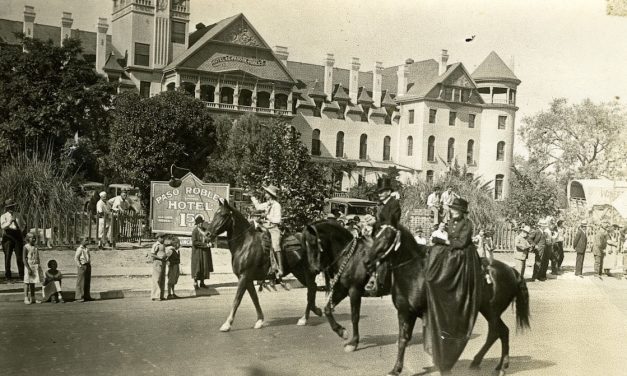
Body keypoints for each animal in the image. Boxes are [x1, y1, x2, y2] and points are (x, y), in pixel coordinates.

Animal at [206, 200, 324, 332]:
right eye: (215, 213)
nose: (207, 234)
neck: (245, 244)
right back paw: (311, 314)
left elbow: (237, 300)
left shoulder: (243, 277)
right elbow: (254, 298)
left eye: (223, 215)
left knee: (311, 289)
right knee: (312, 288)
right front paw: (259, 320)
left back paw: (306, 316)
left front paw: (227, 324)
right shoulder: (247, 279)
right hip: (299, 272)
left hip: (306, 272)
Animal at [302, 220, 376, 352]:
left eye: (313, 243)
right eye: (305, 245)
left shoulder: (354, 291)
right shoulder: (342, 290)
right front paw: (341, 331)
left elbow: (354, 316)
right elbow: (327, 310)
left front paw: (353, 343)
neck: (352, 258)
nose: (312, 269)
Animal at [364, 225, 528, 374]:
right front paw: (396, 368)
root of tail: (512, 271)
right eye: (375, 234)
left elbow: (409, 340)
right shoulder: (406, 312)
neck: (414, 273)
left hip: (492, 310)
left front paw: (398, 368)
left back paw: (500, 366)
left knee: (499, 331)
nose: (367, 261)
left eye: (386, 237)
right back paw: (487, 363)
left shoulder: (408, 313)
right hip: (488, 310)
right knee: (498, 332)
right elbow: (403, 339)